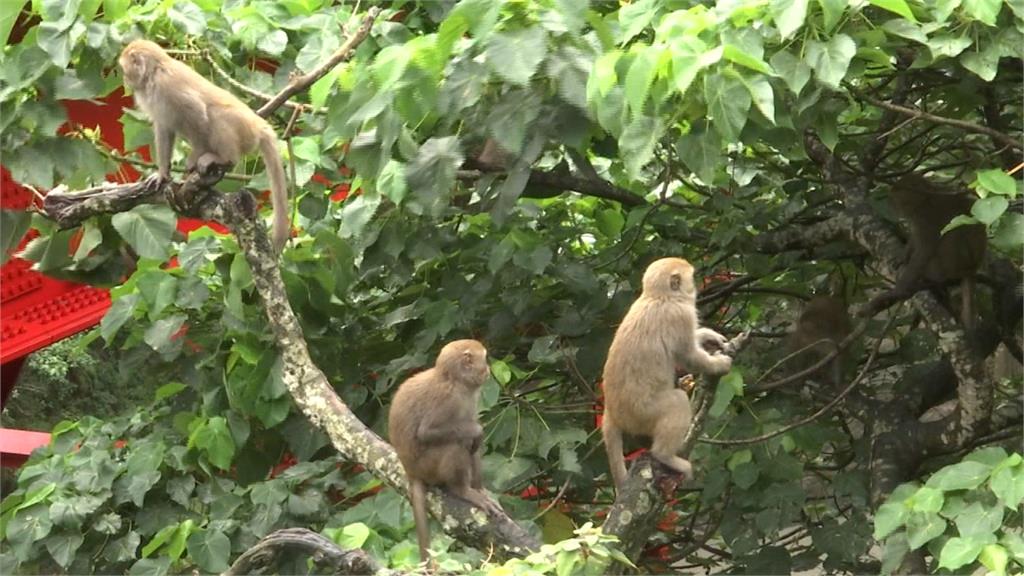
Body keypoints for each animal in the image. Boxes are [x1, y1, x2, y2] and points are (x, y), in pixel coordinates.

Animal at [118, 39, 292, 253]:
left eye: (124, 69)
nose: (126, 80)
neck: (154, 72)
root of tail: (259, 125)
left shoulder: (168, 86)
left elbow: (197, 114)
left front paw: (196, 157)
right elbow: (164, 128)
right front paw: (162, 174)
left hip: (245, 132)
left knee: (216, 115)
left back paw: (222, 158)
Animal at [385, 336, 501, 561]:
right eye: (484, 358)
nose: (488, 370)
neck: (455, 381)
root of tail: (411, 472)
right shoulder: (447, 398)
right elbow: (427, 432)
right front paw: (477, 430)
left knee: (469, 446)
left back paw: (477, 488)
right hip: (427, 467)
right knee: (456, 445)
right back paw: (462, 490)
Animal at [598, 258, 737, 491]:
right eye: (691, 277)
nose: (695, 287)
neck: (658, 296)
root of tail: (612, 412)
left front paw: (707, 335)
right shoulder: (680, 315)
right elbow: (689, 357)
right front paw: (718, 365)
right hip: (641, 414)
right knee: (677, 401)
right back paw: (665, 456)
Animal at [864, 174, 983, 327]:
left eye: (900, 190)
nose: (890, 200)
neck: (924, 200)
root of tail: (971, 269)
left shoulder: (925, 219)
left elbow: (924, 250)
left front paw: (898, 290)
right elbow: (915, 239)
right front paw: (903, 256)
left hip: (949, 265)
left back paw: (930, 278)